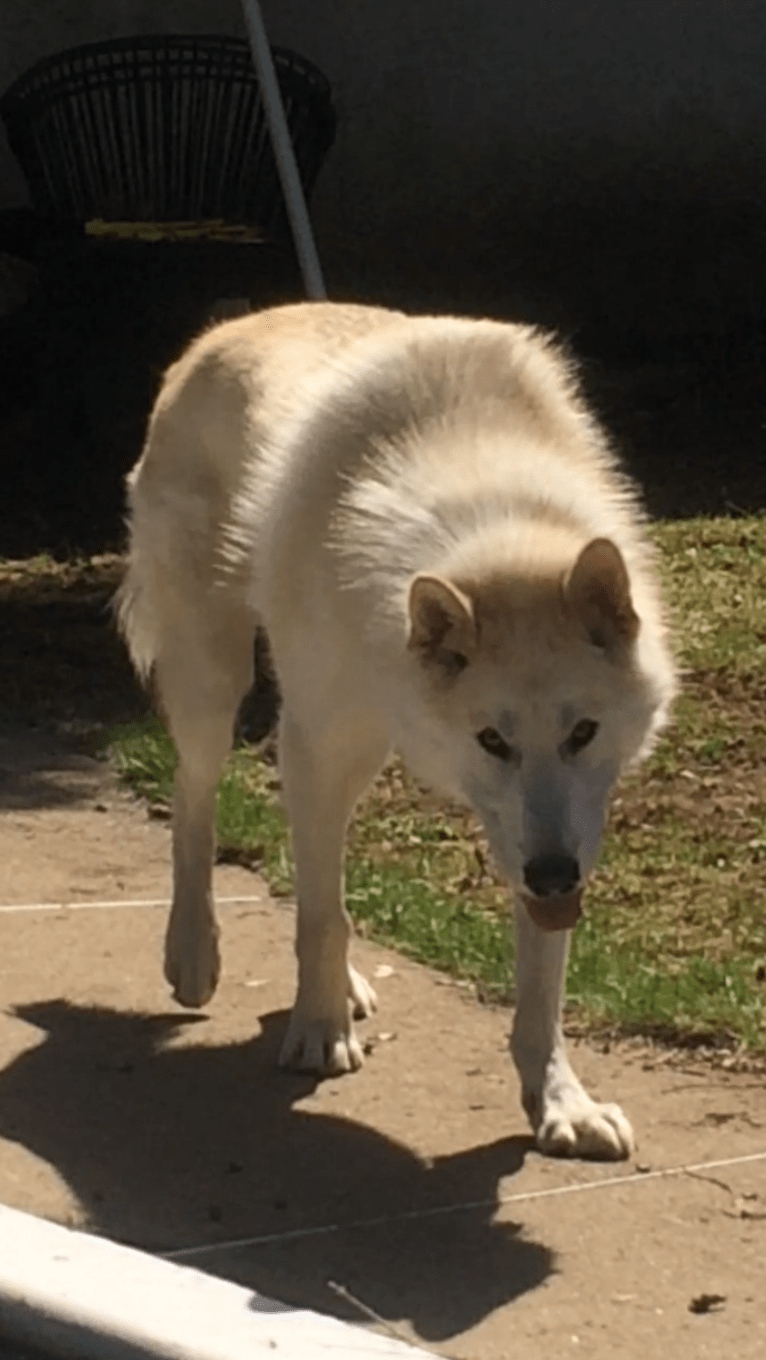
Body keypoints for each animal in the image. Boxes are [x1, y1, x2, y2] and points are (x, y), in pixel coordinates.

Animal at [118, 306, 677, 1158]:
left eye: (583, 733)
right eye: (492, 741)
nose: (552, 878)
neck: (487, 498)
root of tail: (219, 332)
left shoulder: (558, 831)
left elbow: (541, 988)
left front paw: (561, 1103)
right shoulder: (318, 742)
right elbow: (322, 917)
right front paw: (317, 1031)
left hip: (352, 751)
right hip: (222, 687)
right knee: (195, 802)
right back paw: (195, 954)